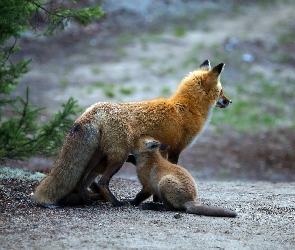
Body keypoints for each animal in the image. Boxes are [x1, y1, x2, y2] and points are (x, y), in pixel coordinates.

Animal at [31, 60, 231, 207]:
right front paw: (158, 201)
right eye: (221, 91)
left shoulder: (164, 150)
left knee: (81, 179)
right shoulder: (175, 150)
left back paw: (86, 201)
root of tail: (97, 107)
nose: (230, 101)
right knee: (102, 182)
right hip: (118, 157)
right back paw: (115, 203)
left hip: (99, 156)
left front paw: (156, 200)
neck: (186, 109)